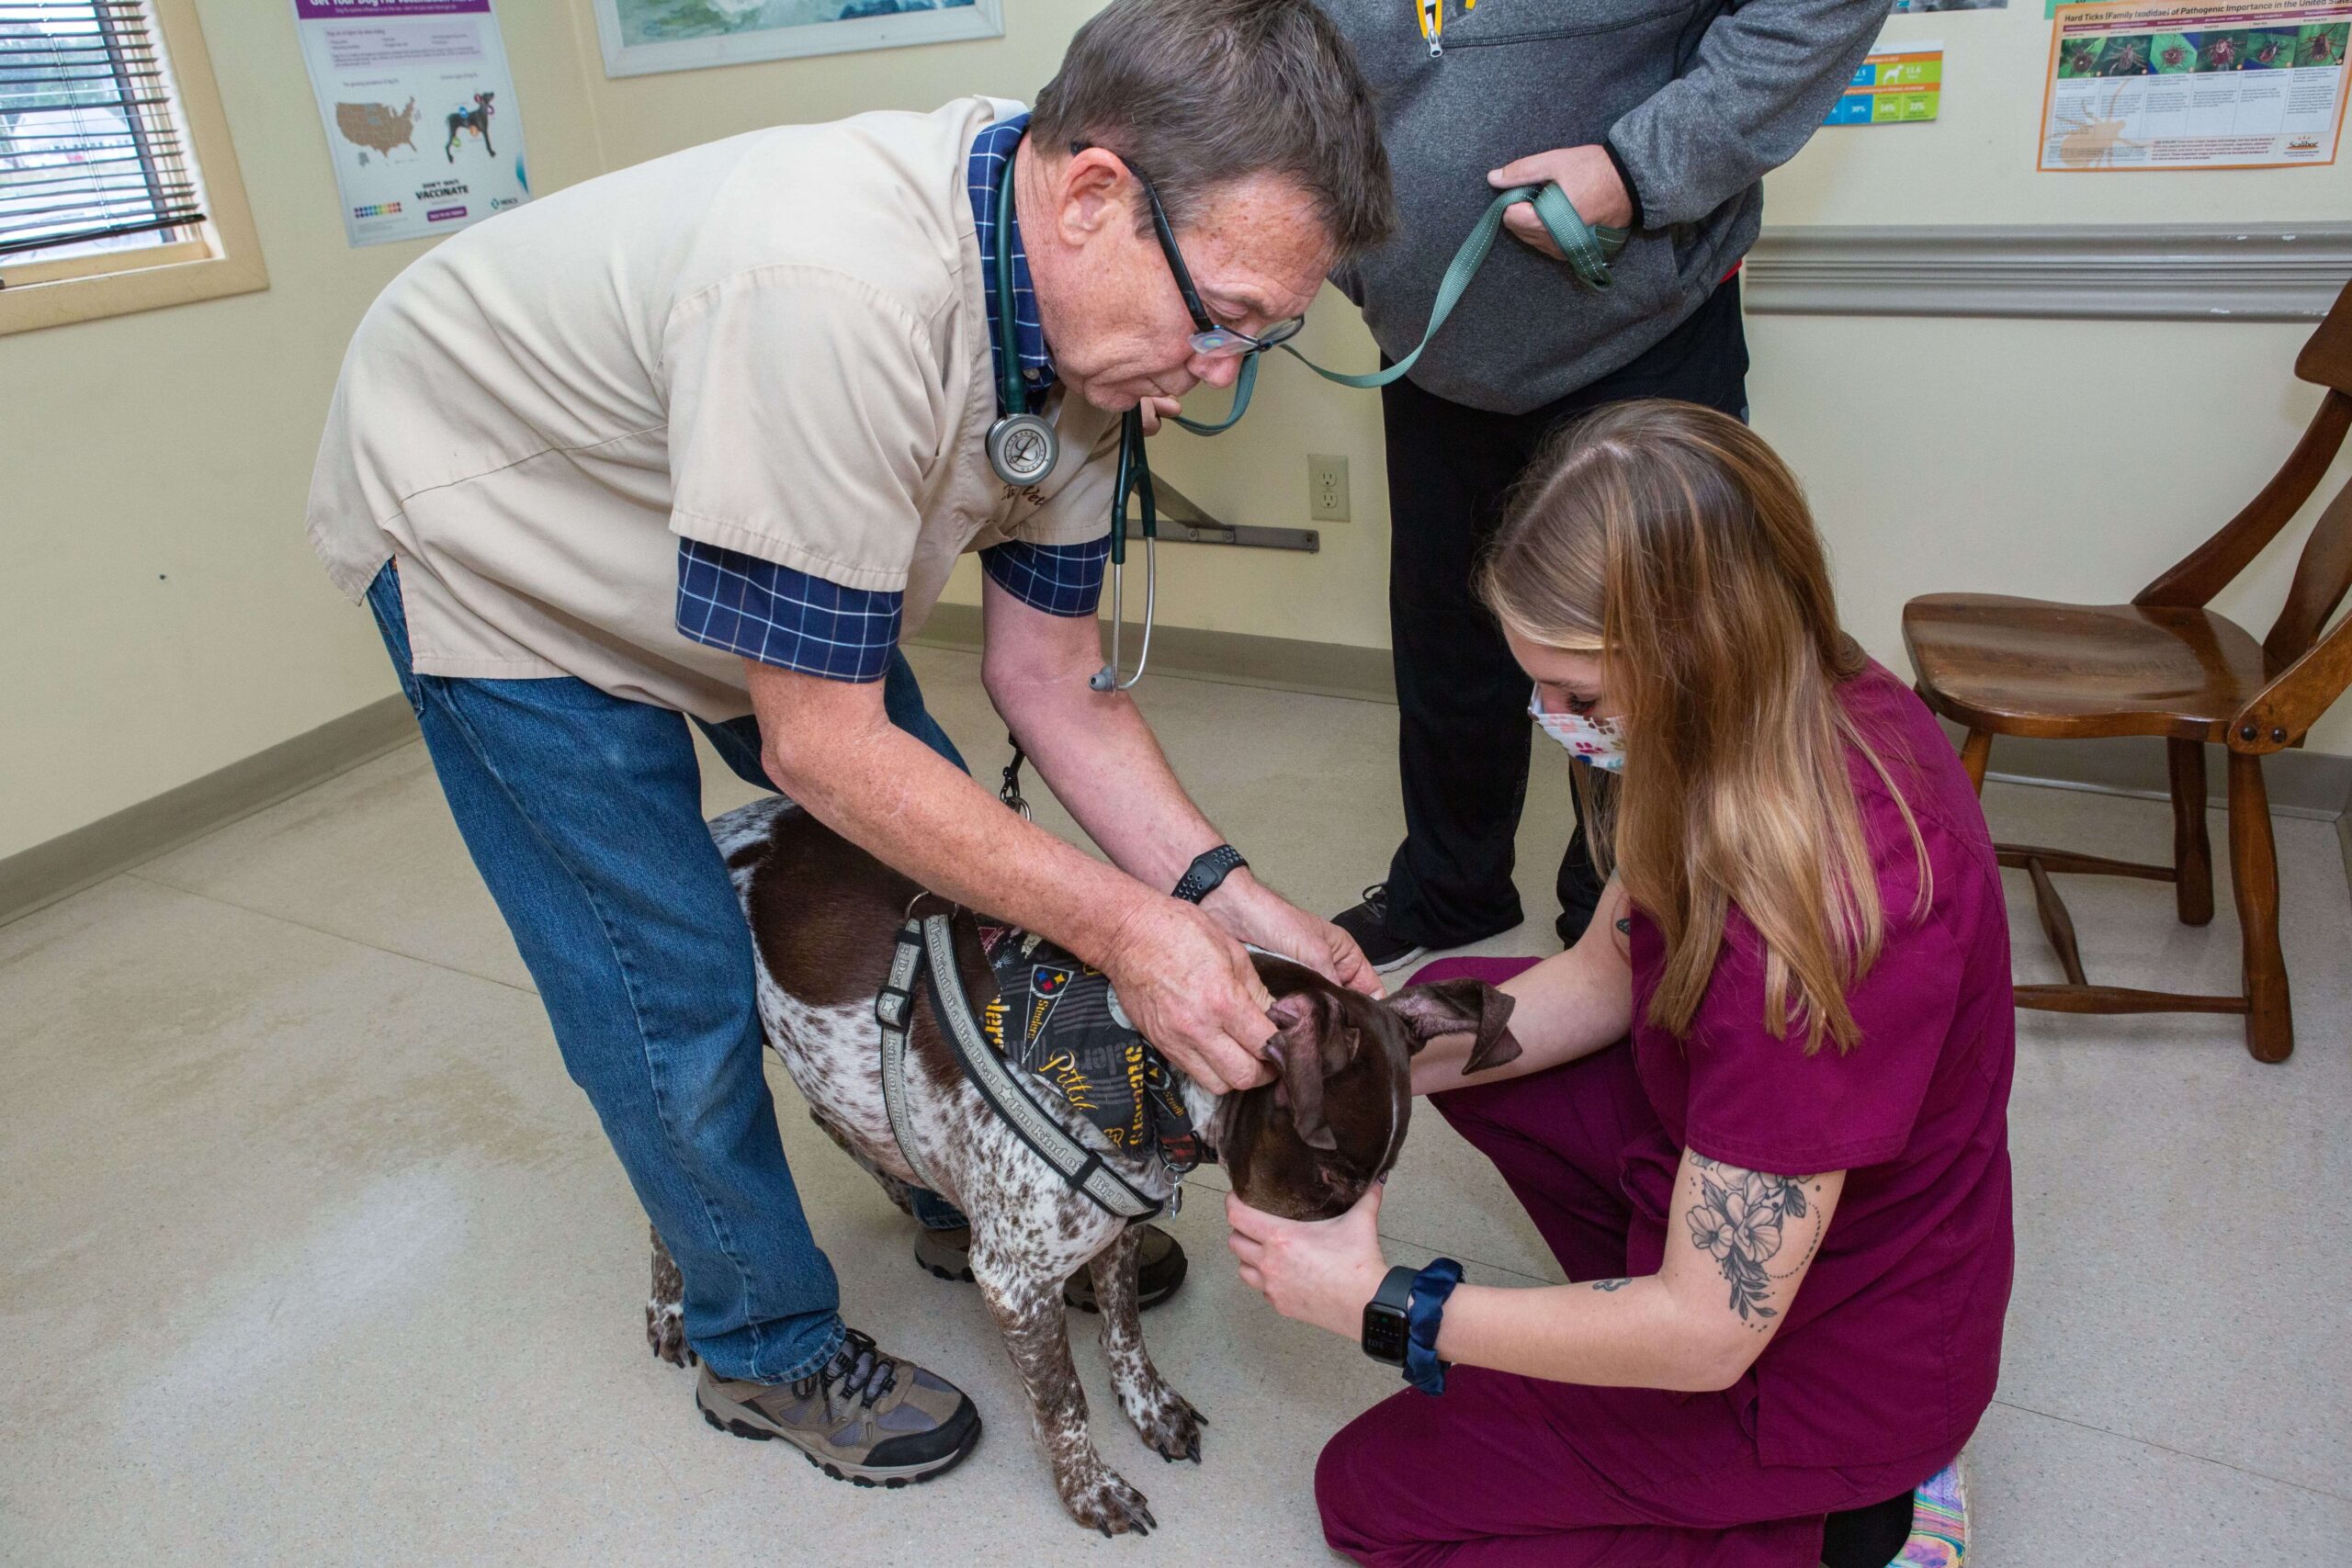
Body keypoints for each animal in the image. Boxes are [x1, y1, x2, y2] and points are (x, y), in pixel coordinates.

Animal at [644, 804, 1523, 1541]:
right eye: (1335, 1182)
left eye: (1382, 1180)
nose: (1358, 1283)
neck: (1130, 1061)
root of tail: (729, 817)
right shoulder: (1014, 1281)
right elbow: (1063, 1402)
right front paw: (1089, 1488)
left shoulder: (1116, 1226)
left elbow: (1125, 1333)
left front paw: (1149, 1405)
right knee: (676, 1173)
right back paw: (672, 1304)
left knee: (847, 1128)